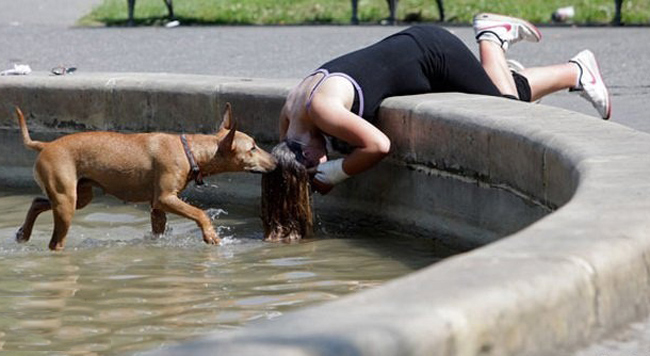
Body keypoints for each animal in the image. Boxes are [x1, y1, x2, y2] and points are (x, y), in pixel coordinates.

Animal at [15, 104, 274, 252]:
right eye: (252, 148)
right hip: (66, 201)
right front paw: (211, 235)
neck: (189, 151)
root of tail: (45, 145)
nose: (275, 161)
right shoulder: (165, 198)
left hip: (79, 196)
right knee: (55, 242)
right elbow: (200, 213)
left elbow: (158, 229)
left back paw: (23, 233)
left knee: (37, 202)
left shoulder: (157, 207)